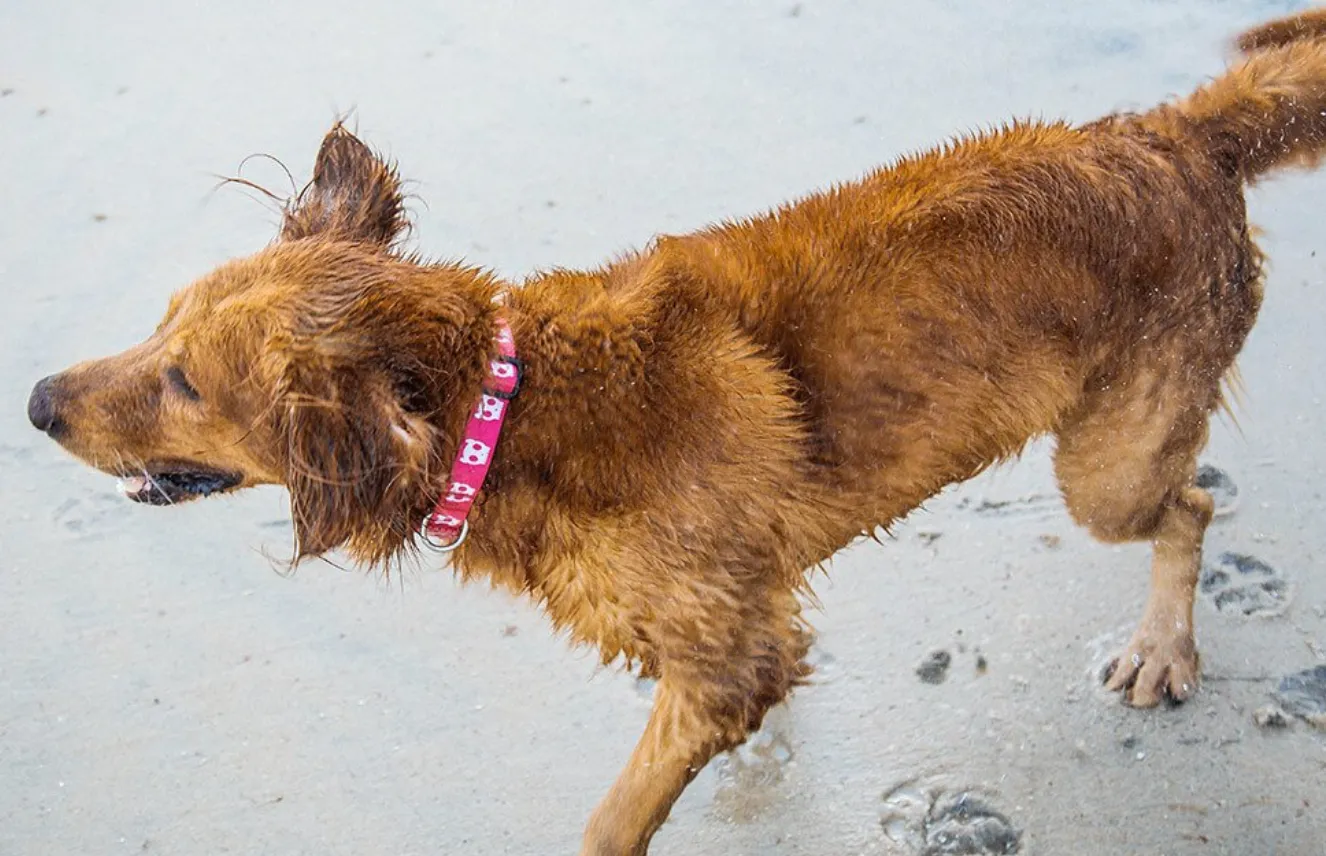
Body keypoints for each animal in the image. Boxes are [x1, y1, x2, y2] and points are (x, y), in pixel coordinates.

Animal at [28, 8, 1326, 856]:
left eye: (185, 381)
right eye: (158, 326)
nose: (35, 400)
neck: (511, 407)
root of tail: (1178, 131)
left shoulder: (718, 651)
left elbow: (613, 816)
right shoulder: (721, 627)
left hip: (1107, 464)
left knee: (1192, 502)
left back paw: (1162, 648)